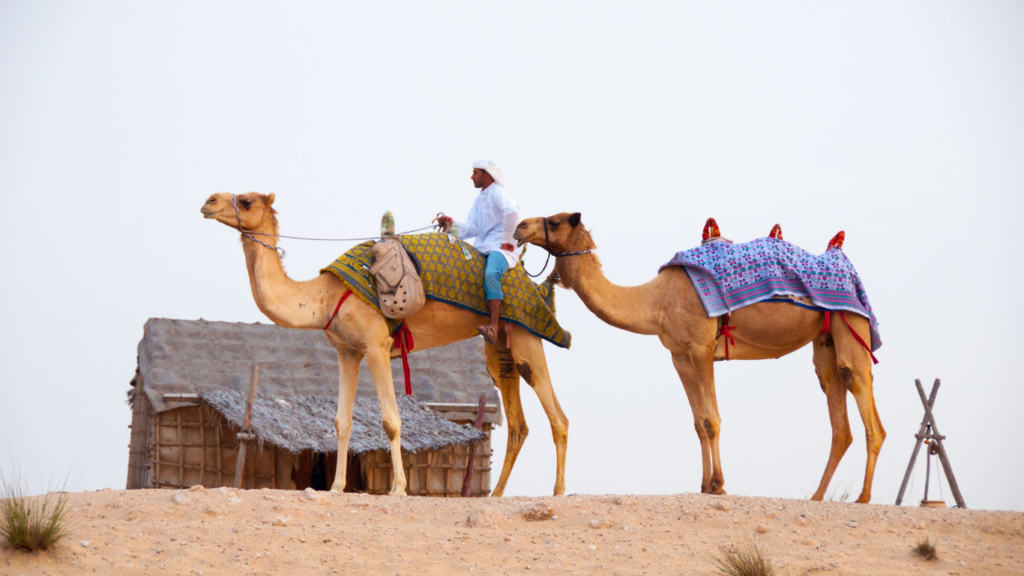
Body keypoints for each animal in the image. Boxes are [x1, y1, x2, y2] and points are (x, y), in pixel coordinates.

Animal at [199, 191, 569, 494]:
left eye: (246, 201)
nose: (209, 201)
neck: (323, 296)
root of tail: (534, 286)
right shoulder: (348, 352)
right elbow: (342, 421)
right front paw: (337, 486)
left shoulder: (376, 346)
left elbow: (391, 421)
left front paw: (399, 488)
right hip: (500, 348)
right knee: (518, 424)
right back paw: (497, 494)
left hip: (526, 336)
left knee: (557, 417)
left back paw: (558, 492)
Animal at [516, 212, 884, 502]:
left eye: (555, 220)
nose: (520, 226)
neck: (656, 300)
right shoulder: (679, 354)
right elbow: (698, 422)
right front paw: (705, 484)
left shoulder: (701, 347)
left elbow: (712, 418)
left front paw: (719, 484)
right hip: (825, 341)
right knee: (839, 417)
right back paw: (818, 496)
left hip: (851, 323)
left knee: (864, 401)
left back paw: (863, 497)